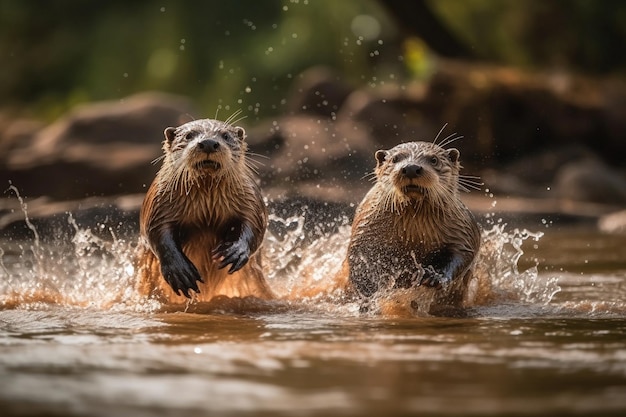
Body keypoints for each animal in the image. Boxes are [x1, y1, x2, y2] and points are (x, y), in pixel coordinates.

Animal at [135, 117, 272, 302]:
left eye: (226, 135)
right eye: (188, 135)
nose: (208, 143)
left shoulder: (251, 200)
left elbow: (255, 225)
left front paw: (236, 251)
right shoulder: (159, 205)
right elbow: (157, 232)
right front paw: (179, 271)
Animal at [342, 140, 478, 312]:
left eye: (434, 160)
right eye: (394, 159)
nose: (411, 168)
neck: (414, 235)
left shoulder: (462, 230)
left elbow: (462, 253)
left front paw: (434, 276)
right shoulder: (365, 229)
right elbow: (359, 260)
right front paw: (369, 299)